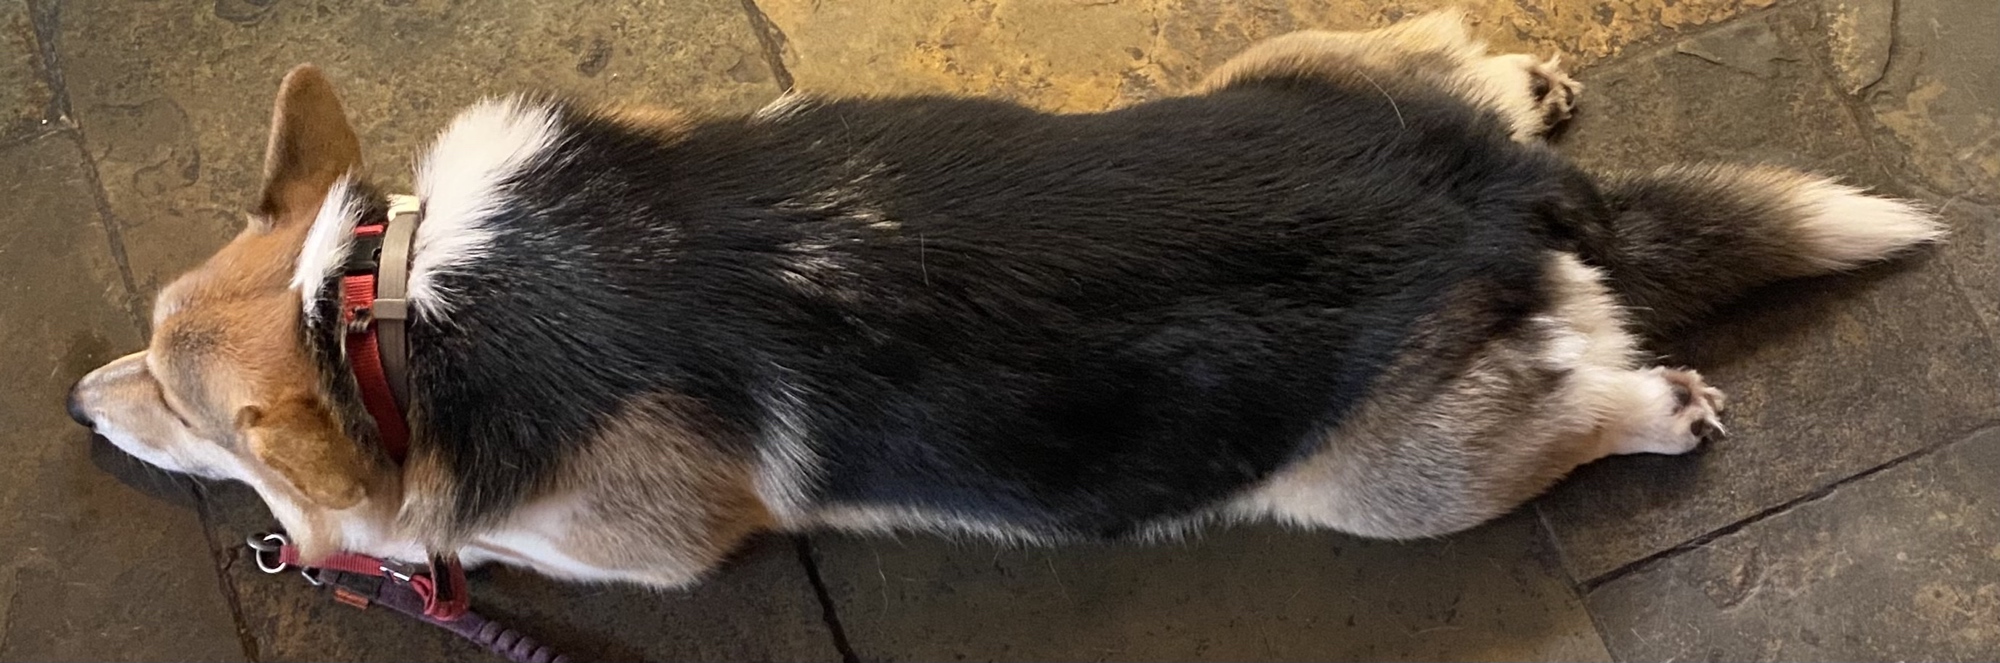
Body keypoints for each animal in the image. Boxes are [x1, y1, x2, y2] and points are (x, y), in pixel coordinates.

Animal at [68, 11, 1941, 589]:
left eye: (180, 404)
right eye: (145, 359)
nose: (77, 403)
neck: (398, 313)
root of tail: (1499, 196)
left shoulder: (626, 545)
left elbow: (476, 538)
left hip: (1382, 484)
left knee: (1574, 414)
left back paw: (1654, 406)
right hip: (1286, 68)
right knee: (1446, 47)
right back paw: (1528, 77)